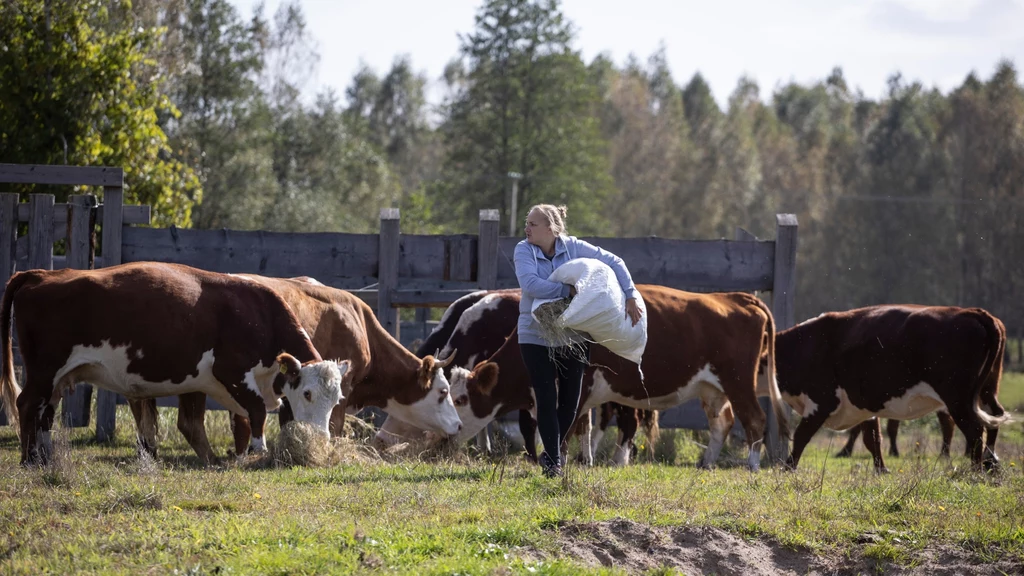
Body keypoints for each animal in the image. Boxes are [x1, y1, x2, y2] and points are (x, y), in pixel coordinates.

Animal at [0, 262, 348, 463]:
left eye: (337, 399)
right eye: (307, 393)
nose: (321, 440)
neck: (260, 315)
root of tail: (42, 275)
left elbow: (228, 421)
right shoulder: (233, 372)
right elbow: (257, 411)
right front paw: (256, 451)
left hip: (58, 378)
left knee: (46, 411)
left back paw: (46, 456)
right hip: (44, 370)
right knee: (27, 404)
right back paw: (29, 459)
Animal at [389, 284, 782, 469]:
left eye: (458, 399)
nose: (436, 443)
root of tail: (736, 298)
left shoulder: (578, 386)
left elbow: (567, 425)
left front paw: (555, 460)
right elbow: (576, 426)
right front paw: (580, 459)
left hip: (738, 382)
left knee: (756, 421)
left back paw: (751, 466)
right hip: (711, 389)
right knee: (722, 423)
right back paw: (706, 463)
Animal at [774, 305, 1007, 471]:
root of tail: (973, 312)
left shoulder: (821, 401)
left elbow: (801, 436)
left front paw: (788, 467)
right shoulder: (863, 406)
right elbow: (872, 438)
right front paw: (881, 469)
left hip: (958, 399)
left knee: (974, 429)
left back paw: (975, 470)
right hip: (986, 391)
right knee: (994, 418)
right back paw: (991, 462)